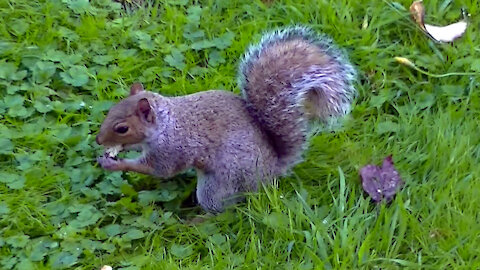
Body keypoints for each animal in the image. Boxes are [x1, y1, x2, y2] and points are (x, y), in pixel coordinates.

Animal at [95, 26, 356, 212]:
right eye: (110, 110)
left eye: (122, 128)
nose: (98, 140)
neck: (166, 124)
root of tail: (272, 171)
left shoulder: (172, 149)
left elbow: (159, 169)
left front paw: (114, 163)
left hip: (221, 183)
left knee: (223, 210)